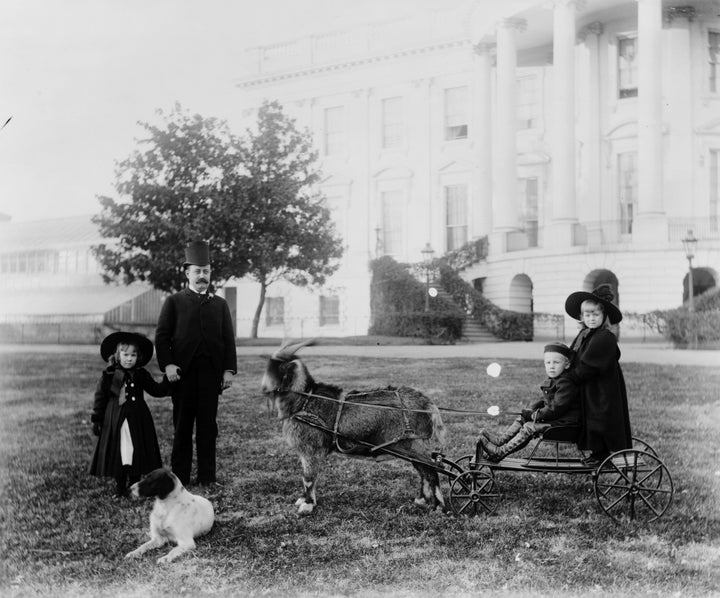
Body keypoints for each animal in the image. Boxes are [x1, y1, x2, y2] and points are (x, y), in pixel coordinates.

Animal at [262, 342, 448, 516]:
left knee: (431, 471)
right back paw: (421, 500)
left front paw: (306, 506)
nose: (264, 388)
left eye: (274, 367)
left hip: (414, 444)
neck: (305, 400)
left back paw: (439, 506)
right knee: (424, 471)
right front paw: (304, 500)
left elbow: (308, 478)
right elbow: (308, 478)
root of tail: (427, 403)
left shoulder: (311, 449)